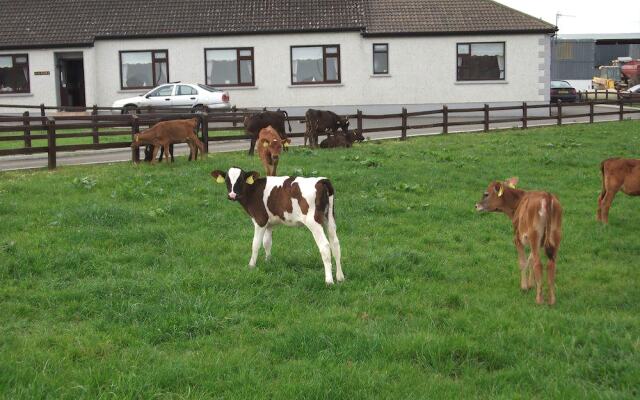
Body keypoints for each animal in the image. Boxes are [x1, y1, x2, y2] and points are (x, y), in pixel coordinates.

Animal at [211, 167, 344, 286]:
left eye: (241, 179)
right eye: (227, 180)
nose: (232, 195)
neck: (254, 190)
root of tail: (321, 180)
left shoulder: (260, 221)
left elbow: (255, 244)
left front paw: (251, 265)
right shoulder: (269, 224)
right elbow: (267, 243)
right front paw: (268, 261)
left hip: (314, 222)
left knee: (325, 246)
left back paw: (329, 281)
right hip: (330, 219)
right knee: (335, 244)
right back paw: (340, 277)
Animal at [472, 178, 564, 306]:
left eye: (486, 194)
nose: (476, 205)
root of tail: (547, 196)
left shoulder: (518, 239)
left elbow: (523, 262)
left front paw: (524, 287)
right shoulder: (539, 243)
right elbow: (530, 259)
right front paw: (531, 284)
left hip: (535, 235)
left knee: (538, 264)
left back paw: (539, 299)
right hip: (555, 235)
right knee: (551, 264)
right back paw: (552, 300)